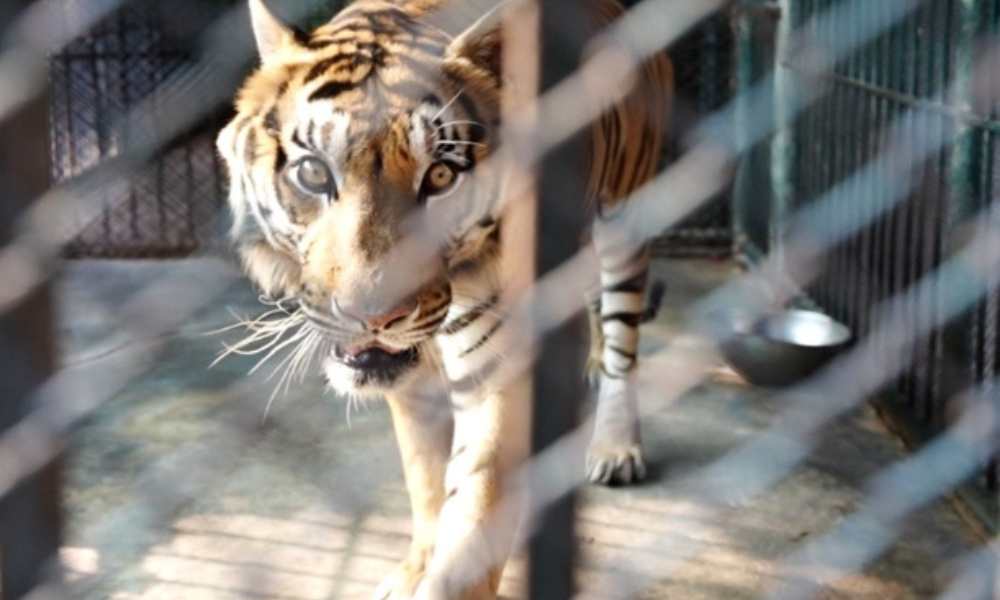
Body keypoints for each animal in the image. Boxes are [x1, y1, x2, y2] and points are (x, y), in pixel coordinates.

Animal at [218, 0, 672, 596]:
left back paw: (616, 446)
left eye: (439, 176)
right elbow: (427, 483)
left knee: (623, 336)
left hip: (624, 216)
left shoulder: (497, 373)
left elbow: (473, 520)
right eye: (314, 172)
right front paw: (413, 569)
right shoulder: (410, 388)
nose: (374, 316)